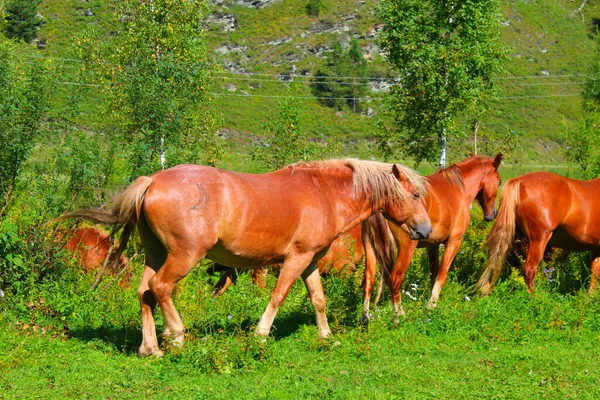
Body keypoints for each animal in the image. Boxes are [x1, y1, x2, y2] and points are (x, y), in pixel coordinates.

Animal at [59, 159, 432, 356]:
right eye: (415, 195)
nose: (426, 230)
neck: (323, 192)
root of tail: (152, 181)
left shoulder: (310, 261)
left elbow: (318, 299)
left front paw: (326, 336)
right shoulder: (295, 260)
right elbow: (278, 295)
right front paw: (260, 334)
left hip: (156, 253)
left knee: (145, 293)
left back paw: (150, 348)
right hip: (184, 256)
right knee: (161, 288)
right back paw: (176, 335)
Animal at [358, 153, 504, 322]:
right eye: (499, 181)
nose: (492, 214)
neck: (458, 187)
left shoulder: (432, 245)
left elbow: (433, 272)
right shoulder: (454, 242)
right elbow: (442, 273)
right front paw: (431, 304)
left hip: (370, 247)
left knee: (368, 280)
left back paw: (365, 318)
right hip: (406, 248)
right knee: (394, 279)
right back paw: (399, 315)